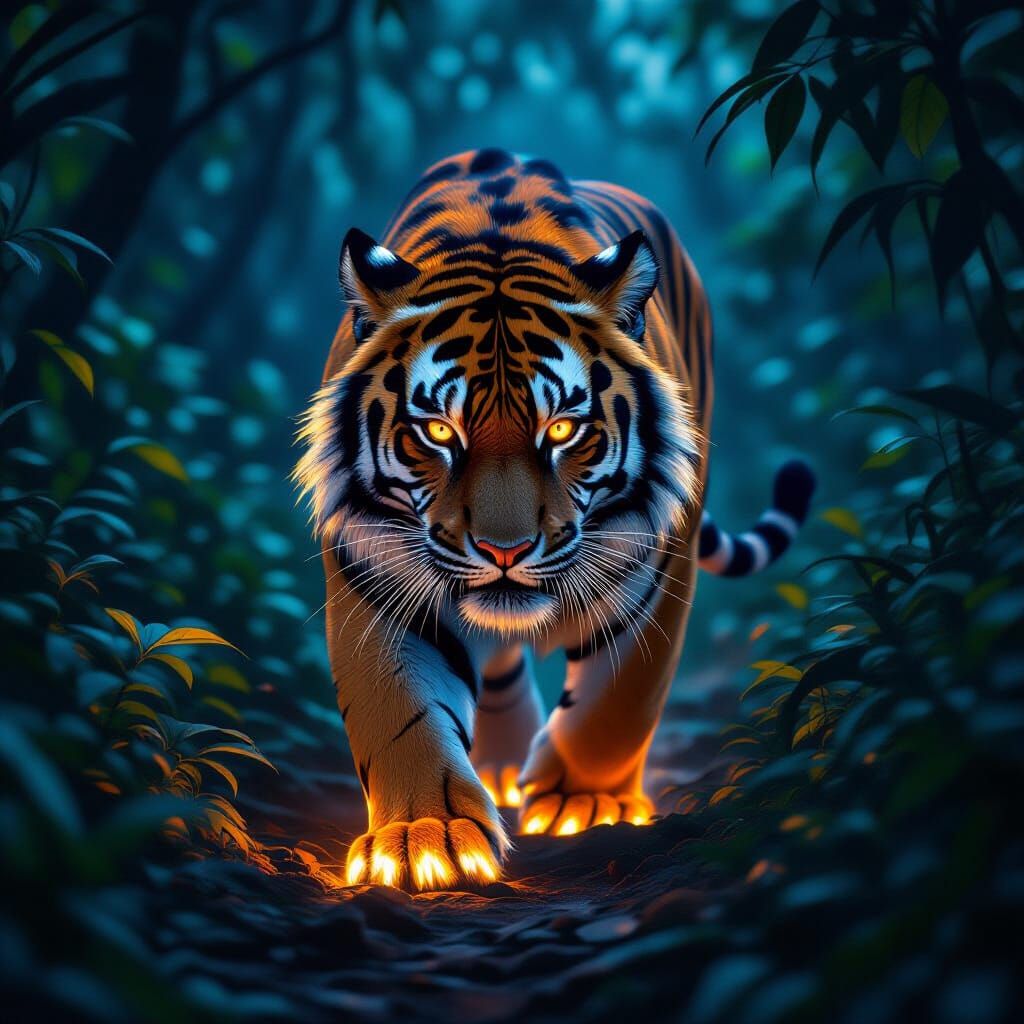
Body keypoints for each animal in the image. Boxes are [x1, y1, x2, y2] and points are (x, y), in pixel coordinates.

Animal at [295, 148, 814, 891]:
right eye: (439, 431)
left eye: (563, 429)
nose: (504, 551)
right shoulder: (374, 575)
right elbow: (400, 714)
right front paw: (425, 837)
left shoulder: (658, 565)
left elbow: (619, 699)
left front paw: (581, 803)